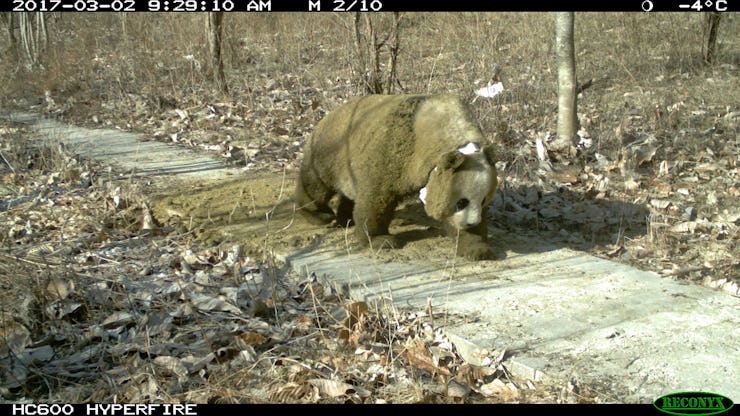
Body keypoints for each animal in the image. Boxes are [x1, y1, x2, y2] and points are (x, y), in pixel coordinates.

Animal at [294, 94, 498, 260]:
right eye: (461, 202)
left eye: (483, 200)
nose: (471, 223)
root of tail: (327, 116)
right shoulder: (395, 149)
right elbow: (375, 196)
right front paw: (381, 240)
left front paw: (477, 248)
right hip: (330, 152)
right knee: (316, 184)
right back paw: (320, 215)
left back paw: (346, 218)